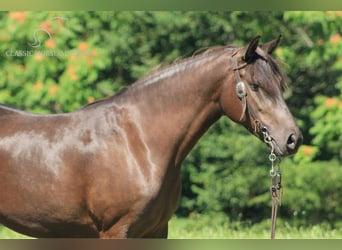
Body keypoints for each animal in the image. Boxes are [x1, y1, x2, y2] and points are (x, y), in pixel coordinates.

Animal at [0, 35, 302, 238]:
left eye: (280, 85)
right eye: (256, 85)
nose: (292, 139)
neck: (139, 142)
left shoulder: (156, 230)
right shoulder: (115, 231)